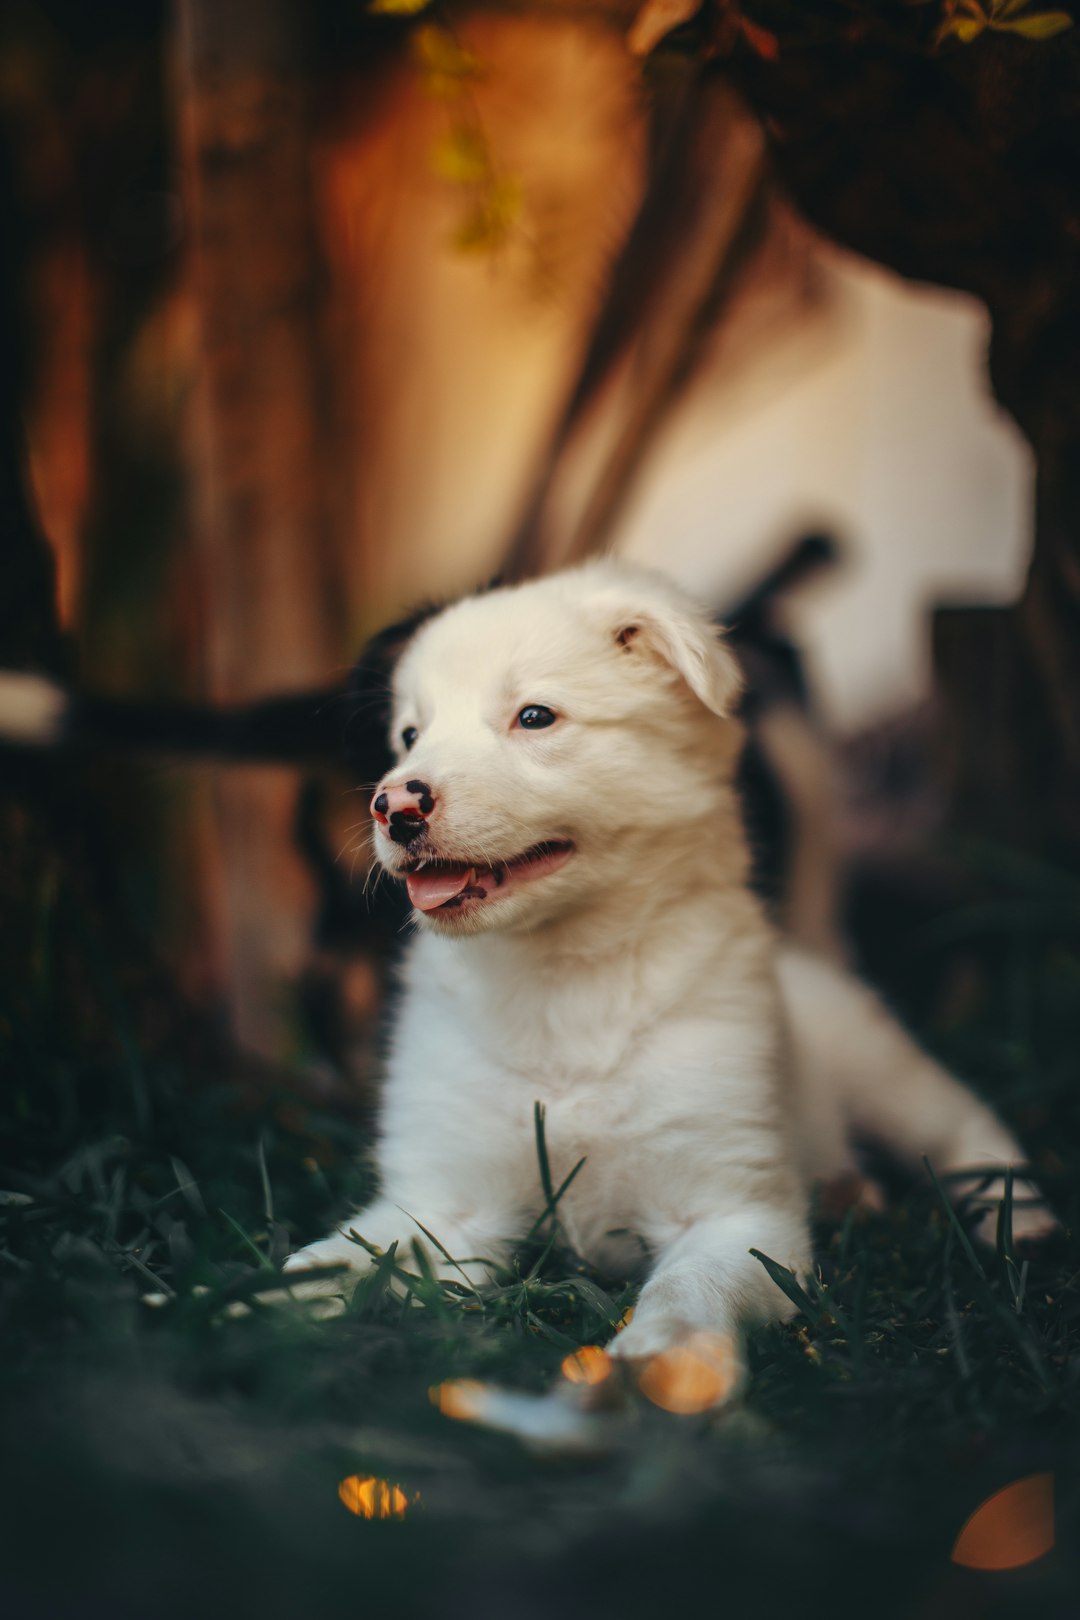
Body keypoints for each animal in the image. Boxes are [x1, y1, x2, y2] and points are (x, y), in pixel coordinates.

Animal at [286, 563, 1055, 1386]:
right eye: (409, 735)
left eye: (535, 717)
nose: (392, 803)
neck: (565, 982)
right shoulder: (441, 1203)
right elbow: (341, 1260)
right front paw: (256, 1317)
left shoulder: (733, 1209)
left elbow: (691, 1286)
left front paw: (665, 1359)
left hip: (881, 1070)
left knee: (964, 1124)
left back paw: (1019, 1220)